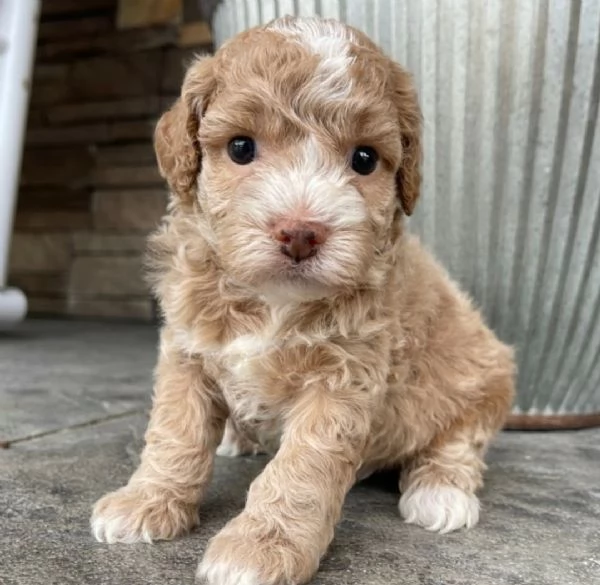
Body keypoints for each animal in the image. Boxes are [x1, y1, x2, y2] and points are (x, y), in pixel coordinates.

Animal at [91, 16, 512, 580]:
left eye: (364, 159)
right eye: (241, 148)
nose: (300, 233)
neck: (271, 303)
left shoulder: (343, 377)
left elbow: (301, 468)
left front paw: (258, 548)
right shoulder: (187, 350)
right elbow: (176, 432)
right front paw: (147, 501)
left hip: (480, 377)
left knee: (458, 443)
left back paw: (440, 493)